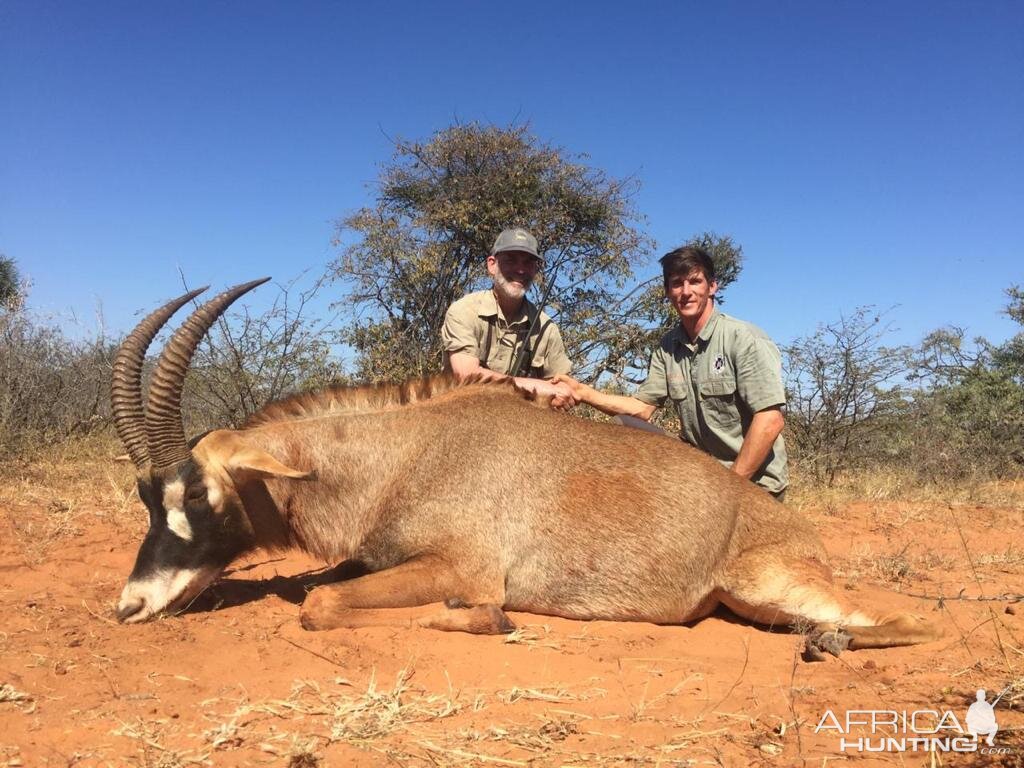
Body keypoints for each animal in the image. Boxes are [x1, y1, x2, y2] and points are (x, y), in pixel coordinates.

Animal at [114, 280, 942, 659]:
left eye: (198, 494)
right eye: (145, 496)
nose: (130, 607)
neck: (406, 454)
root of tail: (796, 529)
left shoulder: (461, 569)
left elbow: (322, 602)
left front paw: (488, 620)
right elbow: (329, 585)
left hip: (764, 584)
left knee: (909, 622)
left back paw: (832, 642)